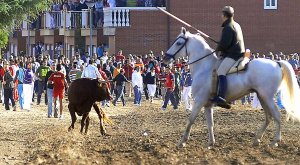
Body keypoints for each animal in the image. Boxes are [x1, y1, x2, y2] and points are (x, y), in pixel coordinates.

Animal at [164, 27, 300, 148]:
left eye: (178, 43)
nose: (165, 57)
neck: (204, 67)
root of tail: (277, 63)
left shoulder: (199, 101)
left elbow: (190, 120)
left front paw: (182, 142)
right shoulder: (207, 105)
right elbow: (210, 124)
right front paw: (210, 143)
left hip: (267, 97)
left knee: (276, 115)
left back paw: (275, 141)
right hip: (262, 97)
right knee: (268, 117)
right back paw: (257, 139)